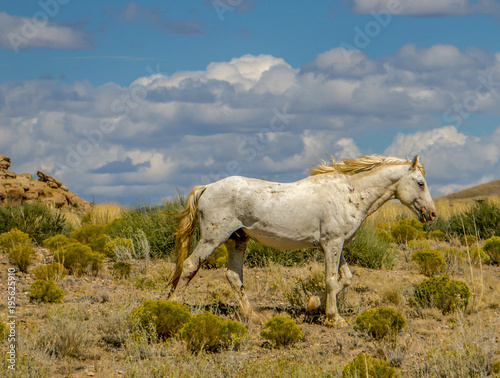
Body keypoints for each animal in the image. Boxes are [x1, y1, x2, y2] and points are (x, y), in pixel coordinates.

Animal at [166, 154, 436, 324]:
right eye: (420, 183)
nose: (431, 214)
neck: (349, 193)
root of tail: (207, 187)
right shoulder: (331, 243)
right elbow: (331, 280)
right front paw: (334, 318)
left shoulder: (337, 245)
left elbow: (345, 278)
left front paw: (314, 304)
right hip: (212, 239)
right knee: (190, 266)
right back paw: (174, 308)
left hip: (237, 240)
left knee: (233, 276)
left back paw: (253, 317)